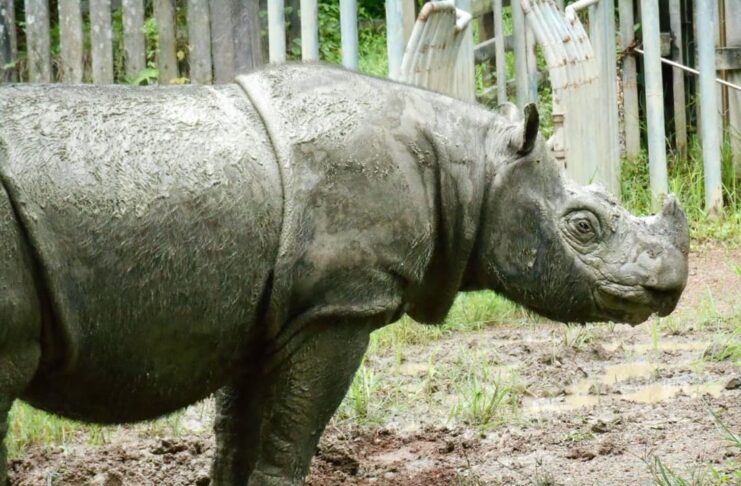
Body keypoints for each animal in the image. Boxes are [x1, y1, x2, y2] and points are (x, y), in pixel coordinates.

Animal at [0, 64, 688, 485]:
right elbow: (293, 430)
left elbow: (237, 433)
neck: (473, 167)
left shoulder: (268, 310)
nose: (671, 287)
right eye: (584, 227)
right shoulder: (341, 303)